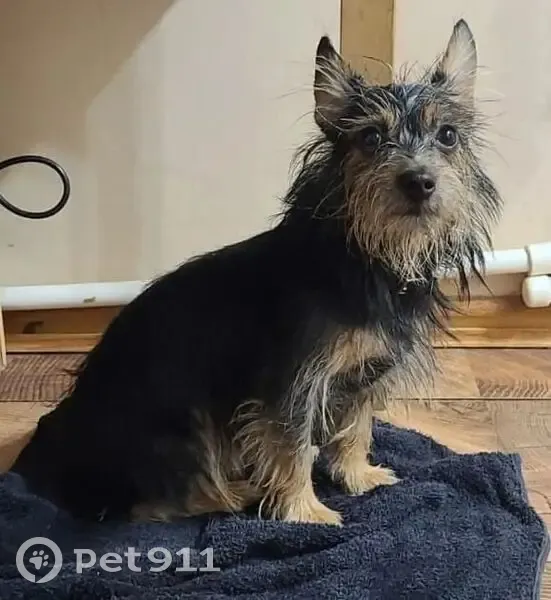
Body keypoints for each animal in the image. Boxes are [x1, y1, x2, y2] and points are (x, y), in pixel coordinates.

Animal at [11, 19, 501, 526]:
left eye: (447, 135)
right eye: (369, 138)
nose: (420, 182)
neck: (367, 256)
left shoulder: (366, 373)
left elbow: (356, 427)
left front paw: (358, 475)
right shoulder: (291, 382)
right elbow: (292, 444)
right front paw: (305, 510)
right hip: (179, 416)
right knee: (157, 503)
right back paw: (238, 492)